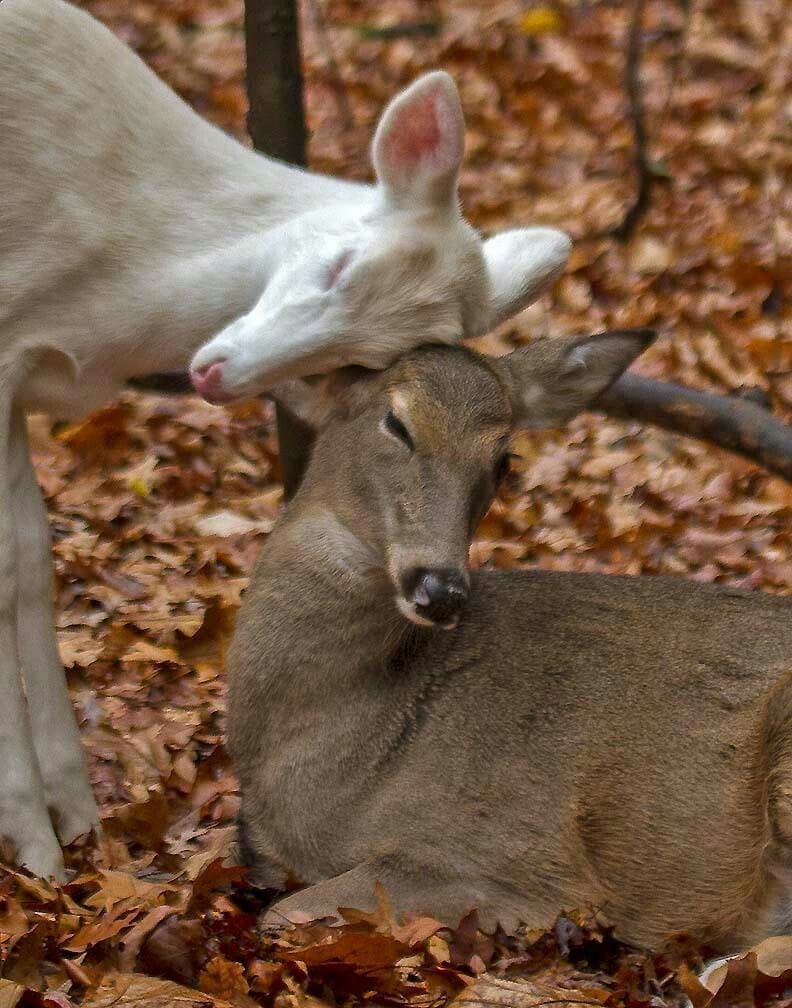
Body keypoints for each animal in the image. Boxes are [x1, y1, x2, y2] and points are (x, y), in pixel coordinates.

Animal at [0, 0, 571, 879]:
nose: (215, 372)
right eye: (336, 263)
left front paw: (74, 822)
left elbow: (30, 563)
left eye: (364, 361)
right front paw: (34, 845)